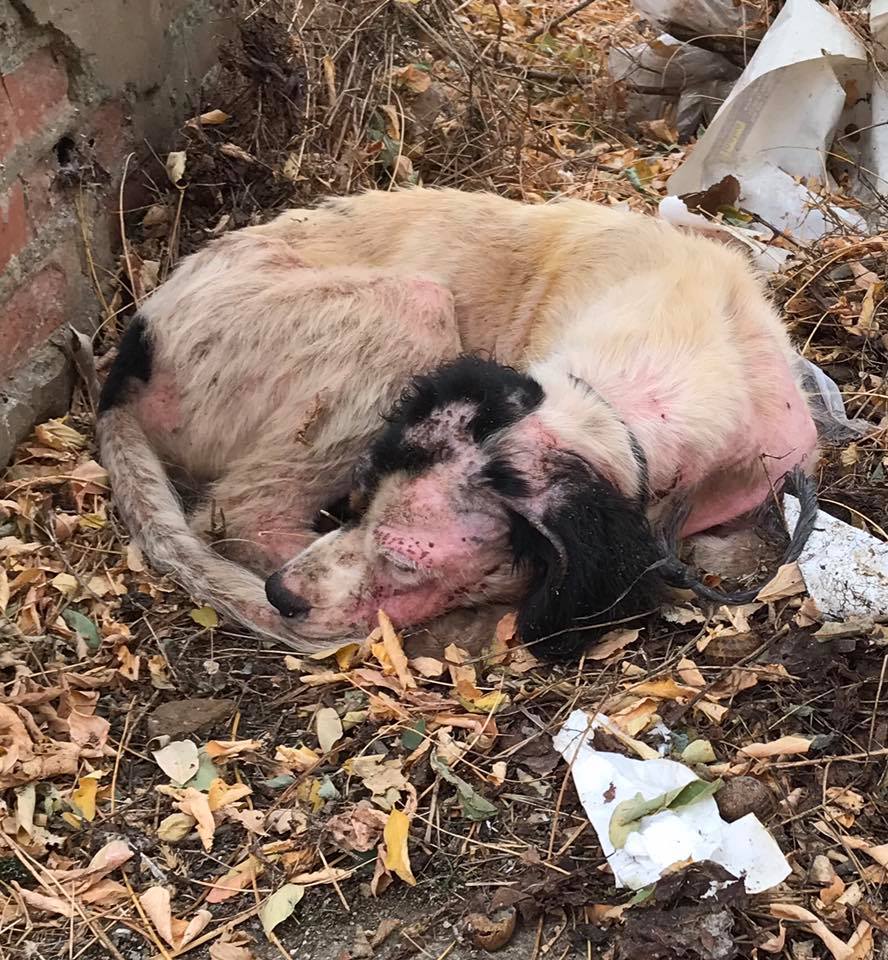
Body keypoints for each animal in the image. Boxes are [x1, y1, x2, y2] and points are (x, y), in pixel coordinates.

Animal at [97, 190, 820, 660]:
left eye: (404, 560)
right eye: (360, 500)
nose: (282, 596)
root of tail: (127, 361)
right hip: (410, 309)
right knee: (237, 512)